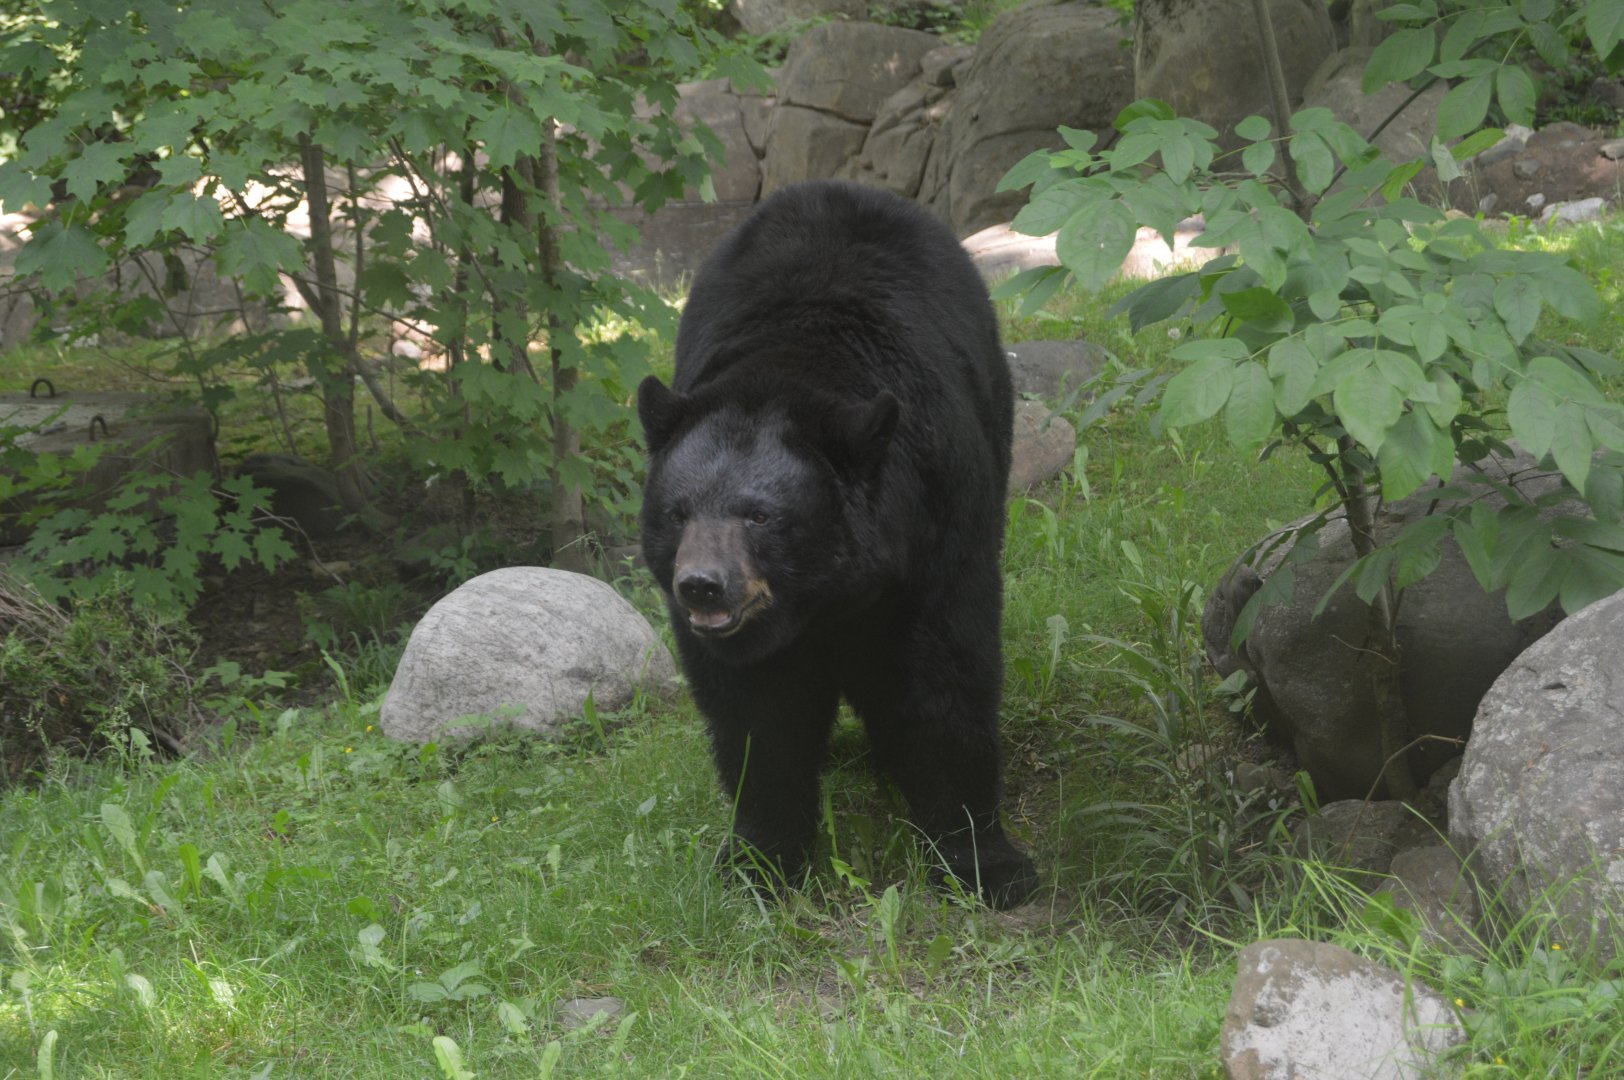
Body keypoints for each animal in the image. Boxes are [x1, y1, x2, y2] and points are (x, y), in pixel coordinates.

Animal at [637, 180, 1037, 909]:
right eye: (677, 513)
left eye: (759, 516)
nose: (701, 585)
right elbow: (755, 716)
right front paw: (762, 860)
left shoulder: (938, 526)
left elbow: (948, 676)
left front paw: (983, 861)